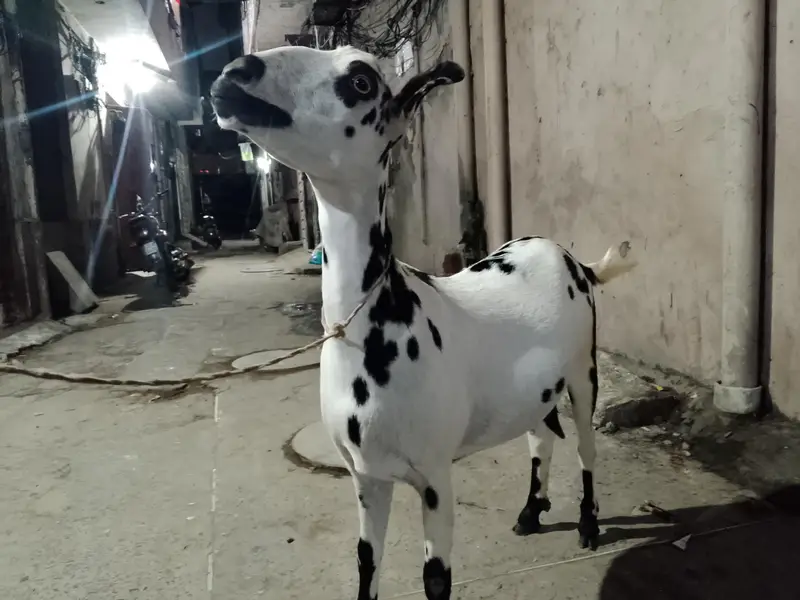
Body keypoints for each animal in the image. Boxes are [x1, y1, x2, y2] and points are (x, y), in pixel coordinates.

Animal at [210, 46, 636, 600]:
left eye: (363, 82)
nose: (234, 74)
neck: (380, 319)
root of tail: (576, 261)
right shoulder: (366, 476)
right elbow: (366, 562)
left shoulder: (435, 475)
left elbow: (435, 578)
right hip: (533, 390)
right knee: (540, 435)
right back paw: (531, 511)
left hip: (584, 368)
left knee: (585, 445)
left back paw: (587, 523)